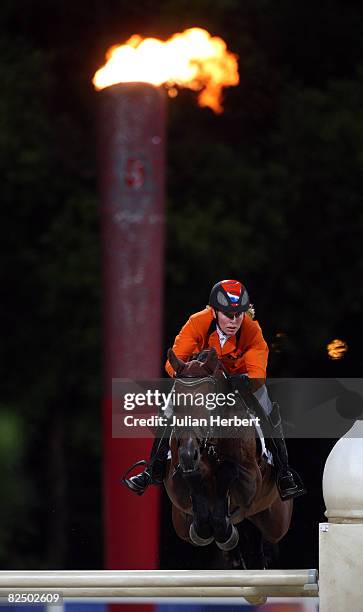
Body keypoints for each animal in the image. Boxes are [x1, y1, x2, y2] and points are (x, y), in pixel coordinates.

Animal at [164, 346, 294, 572]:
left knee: (265, 536)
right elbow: (190, 480)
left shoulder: (252, 480)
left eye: (208, 402)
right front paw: (207, 528)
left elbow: (228, 470)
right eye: (176, 402)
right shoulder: (176, 487)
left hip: (276, 519)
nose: (188, 454)